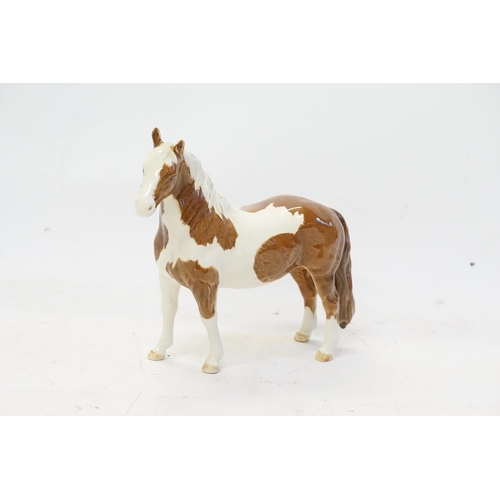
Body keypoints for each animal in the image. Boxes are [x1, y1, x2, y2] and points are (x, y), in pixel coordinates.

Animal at [136, 127, 356, 374]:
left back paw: (325, 351)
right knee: (309, 295)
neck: (199, 226)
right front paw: (159, 350)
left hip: (322, 273)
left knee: (331, 303)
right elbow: (168, 310)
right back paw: (302, 335)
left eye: (171, 174)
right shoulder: (167, 278)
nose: (141, 207)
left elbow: (208, 318)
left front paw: (212, 361)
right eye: (144, 168)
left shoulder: (205, 285)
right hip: (298, 269)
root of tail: (329, 211)